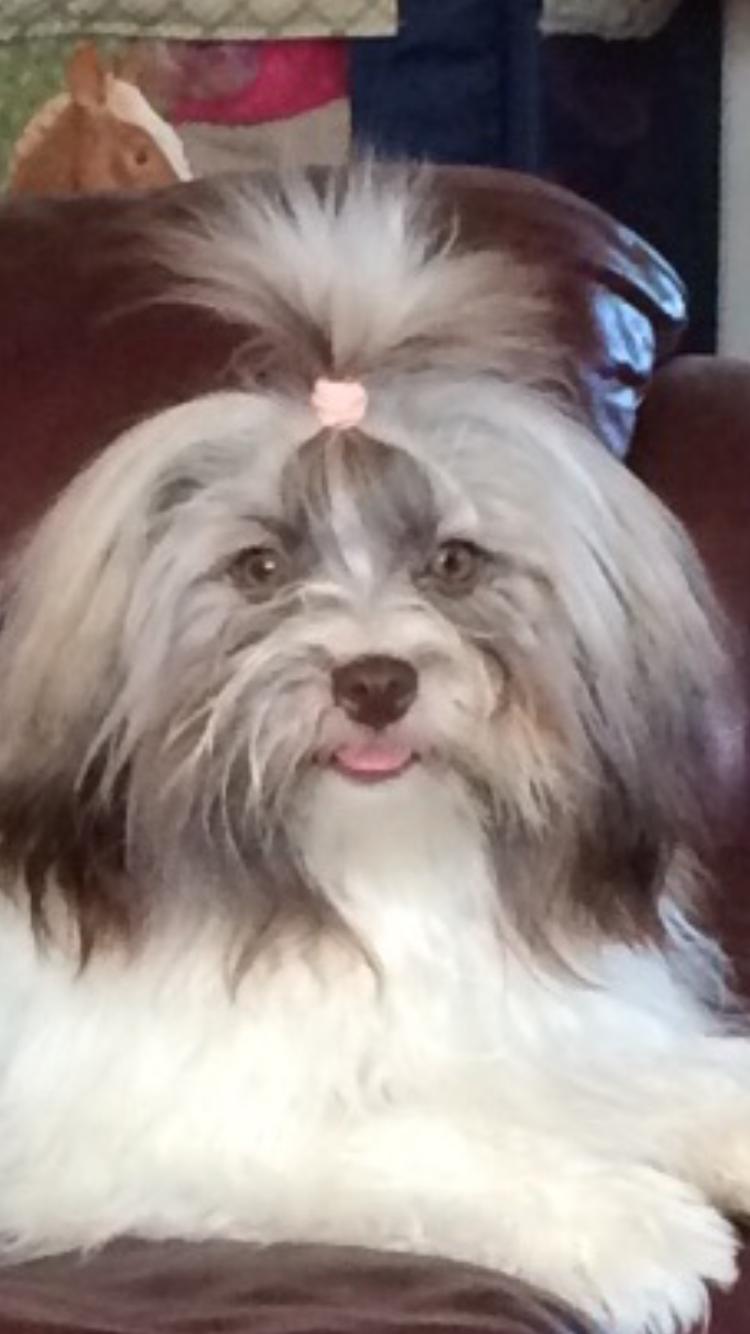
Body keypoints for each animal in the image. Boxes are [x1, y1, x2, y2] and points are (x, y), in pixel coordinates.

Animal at [0, 166, 746, 1334]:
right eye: (260, 568)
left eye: (454, 562)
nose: (376, 680)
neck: (378, 866)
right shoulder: (166, 1122)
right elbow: (425, 1143)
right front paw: (626, 1224)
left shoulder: (533, 1025)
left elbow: (638, 1070)